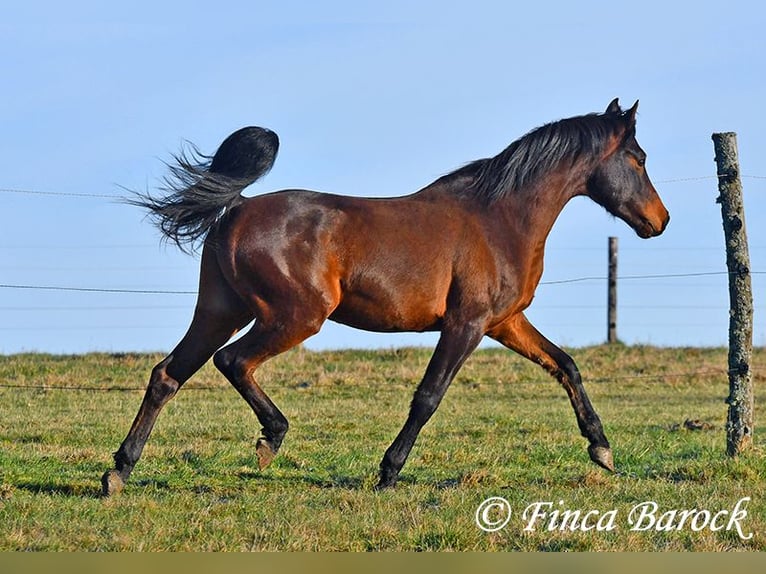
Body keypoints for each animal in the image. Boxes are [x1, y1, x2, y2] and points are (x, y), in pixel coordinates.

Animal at [103, 98, 672, 496]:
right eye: (639, 159)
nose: (660, 220)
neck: (500, 219)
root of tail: (236, 208)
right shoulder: (466, 324)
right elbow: (428, 397)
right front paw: (388, 472)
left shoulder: (504, 322)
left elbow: (566, 365)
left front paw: (601, 448)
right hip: (295, 316)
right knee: (233, 362)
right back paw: (270, 438)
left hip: (220, 311)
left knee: (168, 374)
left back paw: (119, 472)